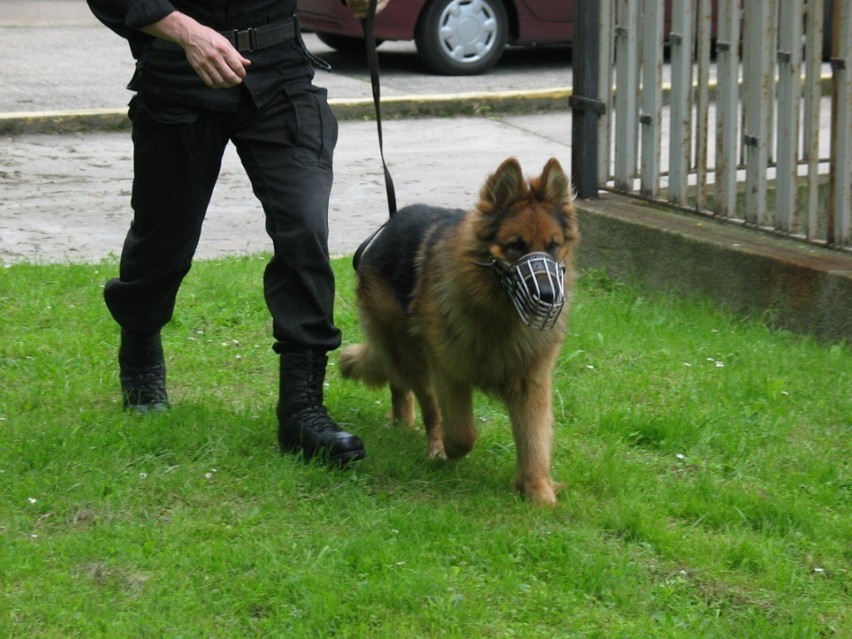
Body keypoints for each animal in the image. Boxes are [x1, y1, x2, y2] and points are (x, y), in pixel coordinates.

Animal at [340, 158, 580, 508]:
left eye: (552, 245)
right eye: (516, 246)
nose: (548, 296)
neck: (498, 313)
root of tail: (387, 226)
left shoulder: (530, 382)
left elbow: (534, 440)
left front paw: (538, 492)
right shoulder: (449, 374)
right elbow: (461, 432)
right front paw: (450, 449)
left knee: (400, 385)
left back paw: (403, 423)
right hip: (412, 354)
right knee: (420, 398)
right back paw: (430, 442)